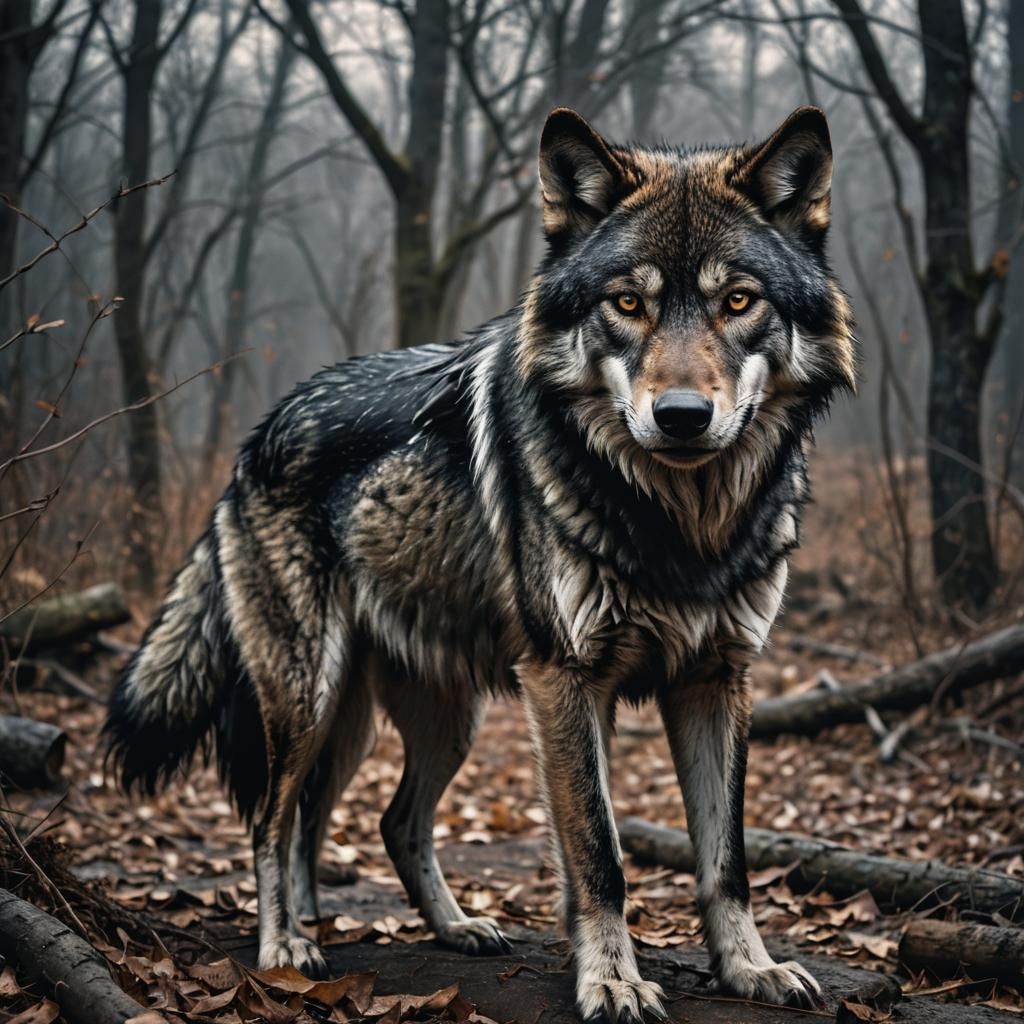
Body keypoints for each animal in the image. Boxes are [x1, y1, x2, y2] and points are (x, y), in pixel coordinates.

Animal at [106, 105, 855, 1022]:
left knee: (378, 821)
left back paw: (444, 927)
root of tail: (254, 441)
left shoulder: (716, 679)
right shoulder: (565, 680)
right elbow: (600, 855)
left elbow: (726, 860)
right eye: (628, 304)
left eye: (738, 302)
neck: (682, 527)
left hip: (417, 718)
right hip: (308, 696)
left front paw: (750, 968)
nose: (681, 416)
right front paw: (613, 981)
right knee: (273, 822)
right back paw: (286, 945)